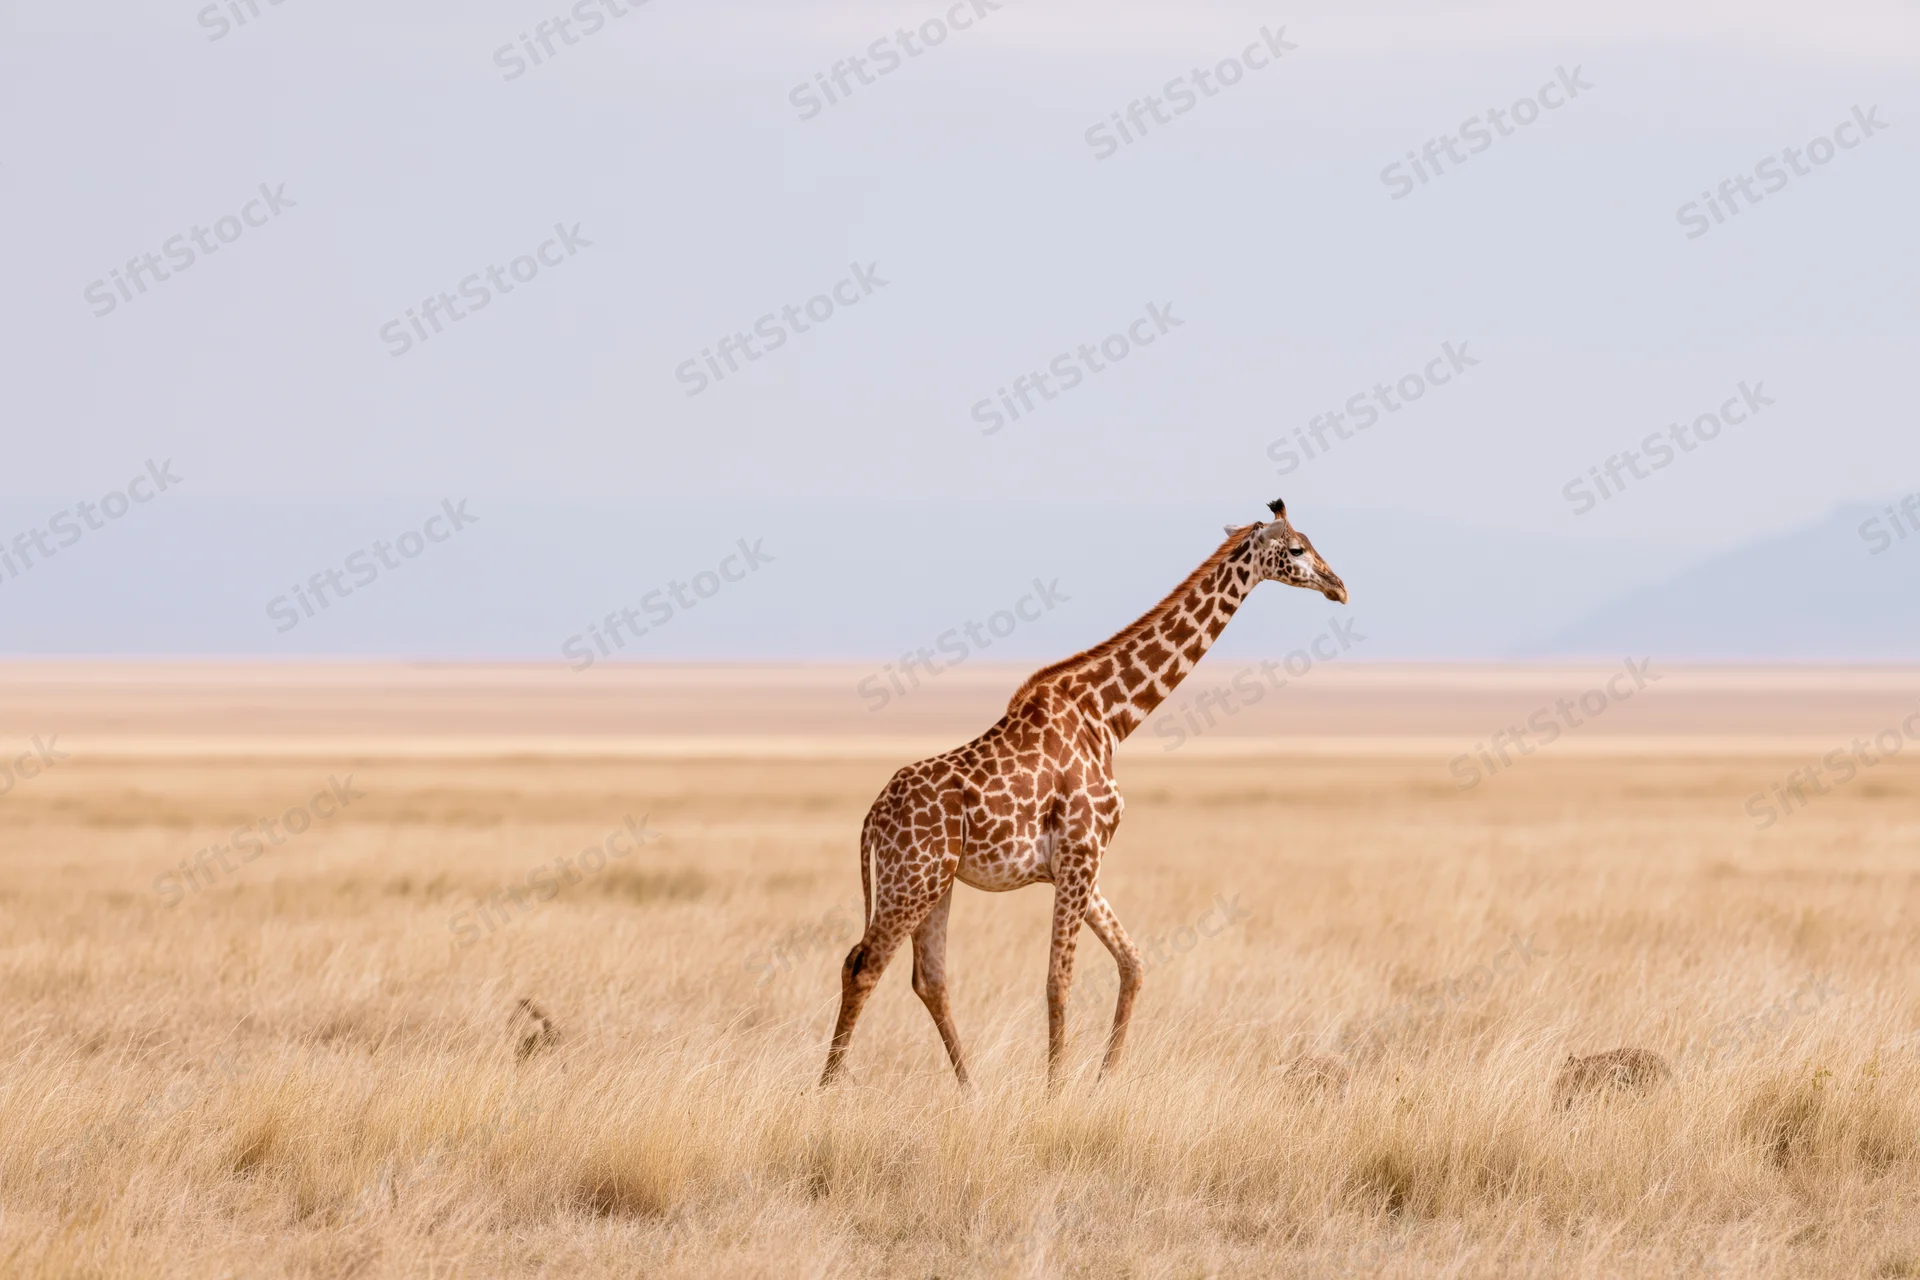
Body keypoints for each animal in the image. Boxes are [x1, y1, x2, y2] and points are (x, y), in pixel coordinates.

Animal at [820, 499, 1348, 1089]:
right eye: (1297, 548)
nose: (1339, 586)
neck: (1110, 720)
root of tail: (872, 816)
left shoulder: (1079, 860)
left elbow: (1132, 963)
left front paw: (1102, 1080)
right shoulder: (1080, 851)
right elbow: (1060, 978)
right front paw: (1056, 1090)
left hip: (937, 882)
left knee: (928, 978)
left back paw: (970, 1090)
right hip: (911, 878)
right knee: (863, 964)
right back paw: (827, 1090)